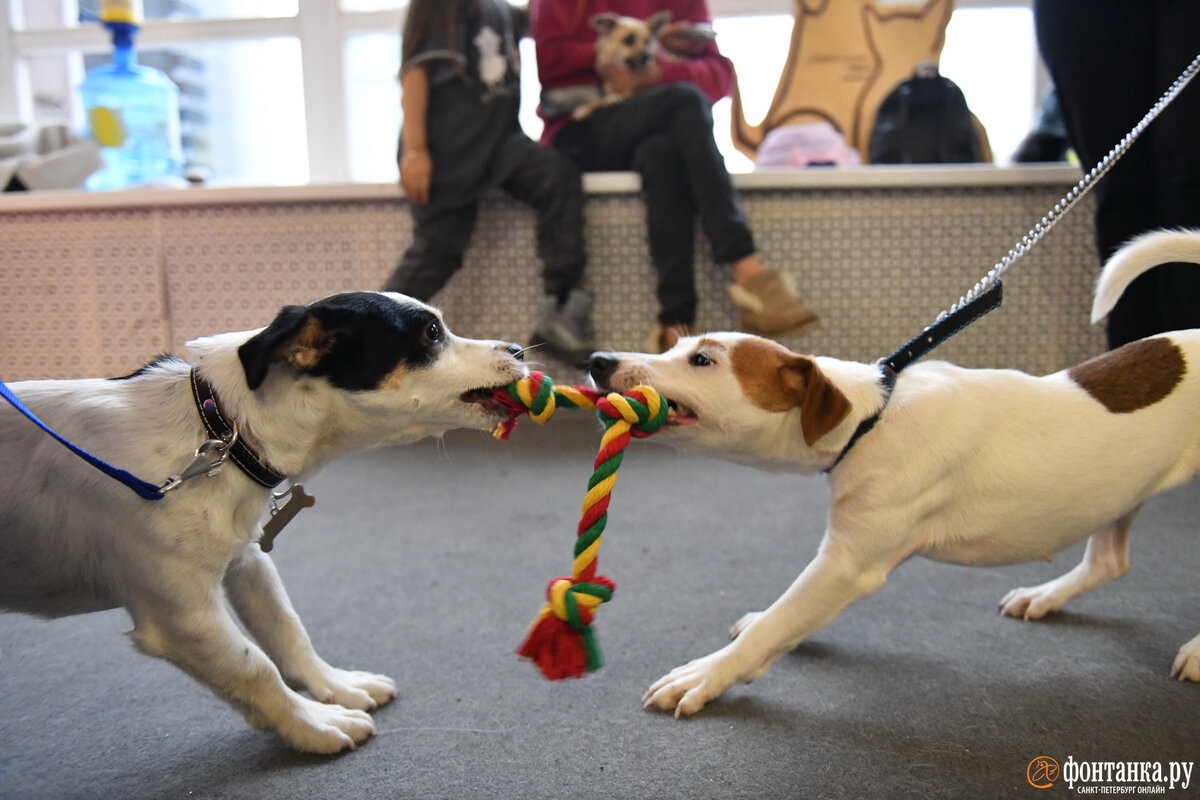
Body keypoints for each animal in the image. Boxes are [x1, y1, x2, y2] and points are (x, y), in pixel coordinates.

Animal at [1, 291, 525, 753]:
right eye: (432, 333)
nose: (519, 350)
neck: (216, 430)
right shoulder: (183, 617)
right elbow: (255, 668)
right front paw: (314, 725)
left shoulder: (246, 560)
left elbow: (287, 629)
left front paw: (335, 686)